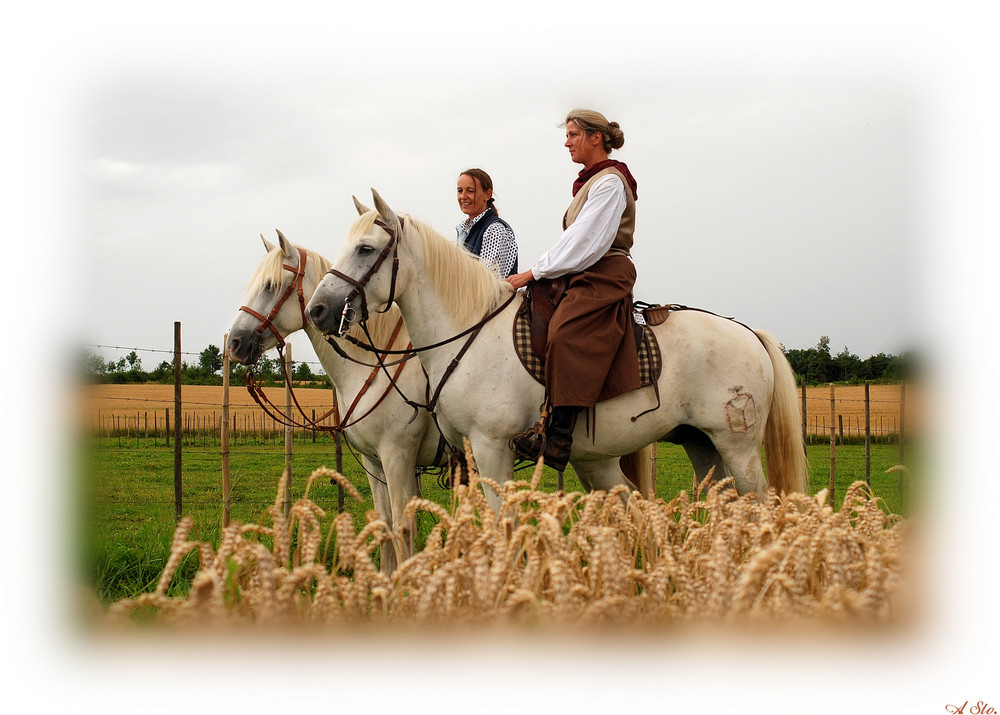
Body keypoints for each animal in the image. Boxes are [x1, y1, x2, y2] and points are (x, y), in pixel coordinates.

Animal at [229, 232, 448, 572]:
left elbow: (403, 528)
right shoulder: (375, 462)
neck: (372, 366)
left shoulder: (398, 457)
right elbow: (384, 524)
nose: (234, 343)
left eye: (271, 286)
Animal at [306, 190, 812, 510]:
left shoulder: (490, 448)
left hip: (738, 445)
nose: (318, 309)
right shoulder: (461, 455)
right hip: (702, 444)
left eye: (365, 249)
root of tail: (748, 333)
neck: (469, 330)